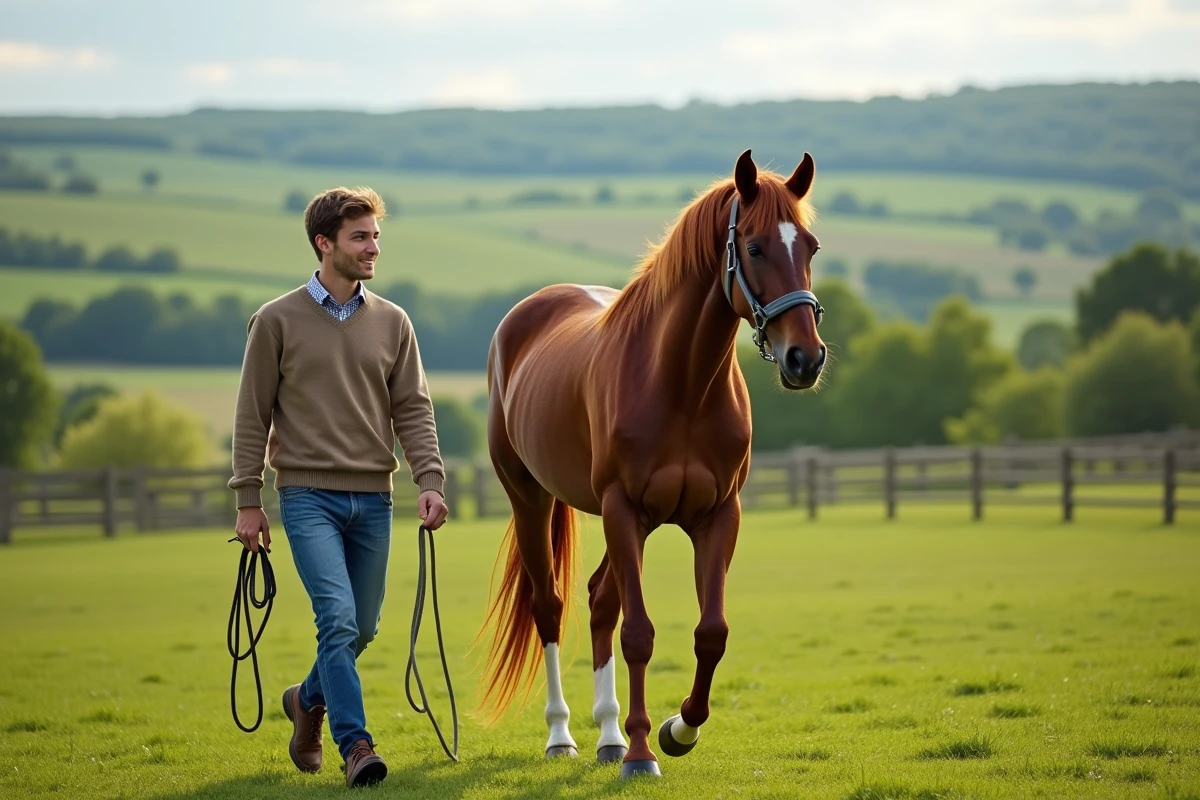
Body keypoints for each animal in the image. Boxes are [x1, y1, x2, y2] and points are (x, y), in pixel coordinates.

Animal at [474, 149, 827, 778]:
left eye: (809, 246)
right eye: (755, 247)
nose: (804, 358)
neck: (681, 383)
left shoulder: (717, 516)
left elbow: (711, 633)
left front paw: (676, 729)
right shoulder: (624, 509)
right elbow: (638, 634)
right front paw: (642, 755)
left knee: (599, 602)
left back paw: (609, 736)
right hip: (533, 499)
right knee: (551, 606)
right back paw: (563, 735)